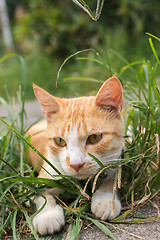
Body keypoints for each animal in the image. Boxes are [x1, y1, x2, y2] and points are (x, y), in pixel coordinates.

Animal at [26, 75, 124, 234]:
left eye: (94, 138)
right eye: (59, 141)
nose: (75, 164)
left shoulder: (115, 161)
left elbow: (111, 179)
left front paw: (105, 200)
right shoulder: (42, 178)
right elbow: (40, 194)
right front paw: (47, 215)